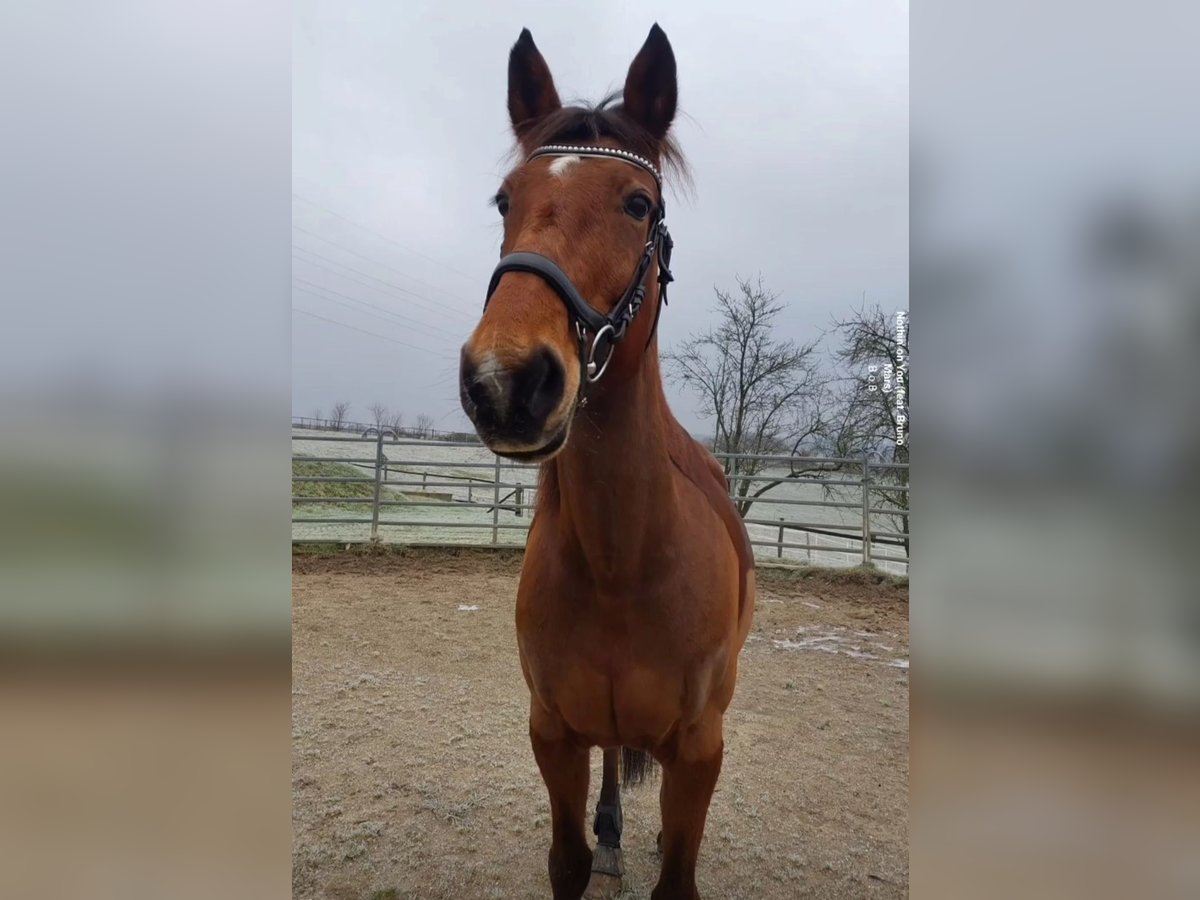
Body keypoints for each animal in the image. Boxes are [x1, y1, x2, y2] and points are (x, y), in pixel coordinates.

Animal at [460, 24, 758, 900]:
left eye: (639, 205)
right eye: (505, 201)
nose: (506, 381)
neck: (623, 563)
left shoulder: (699, 750)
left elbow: (679, 877)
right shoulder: (554, 734)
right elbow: (567, 859)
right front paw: (597, 843)